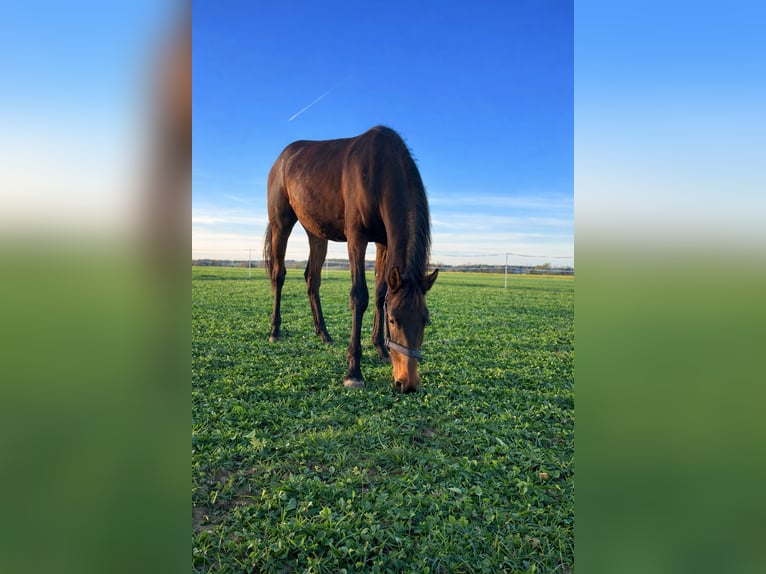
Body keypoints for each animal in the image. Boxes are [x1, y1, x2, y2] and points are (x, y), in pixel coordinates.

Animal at [264, 126, 438, 393]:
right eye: (393, 320)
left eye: (425, 321)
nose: (407, 383)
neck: (379, 170)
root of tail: (281, 159)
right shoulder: (357, 238)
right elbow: (359, 296)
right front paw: (354, 370)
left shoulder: (383, 242)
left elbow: (380, 293)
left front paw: (380, 348)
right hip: (280, 224)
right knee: (278, 275)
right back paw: (275, 331)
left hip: (316, 233)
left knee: (312, 279)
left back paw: (323, 333)